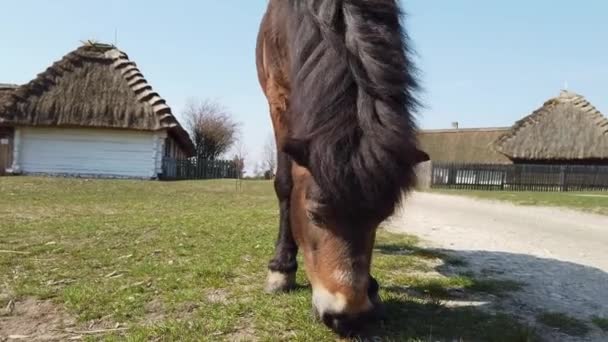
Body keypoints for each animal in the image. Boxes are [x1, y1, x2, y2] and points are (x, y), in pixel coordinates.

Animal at [255, 0, 428, 336]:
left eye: (381, 218)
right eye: (313, 214)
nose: (349, 316)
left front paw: (372, 287)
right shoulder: (278, 101)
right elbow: (285, 184)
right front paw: (281, 269)